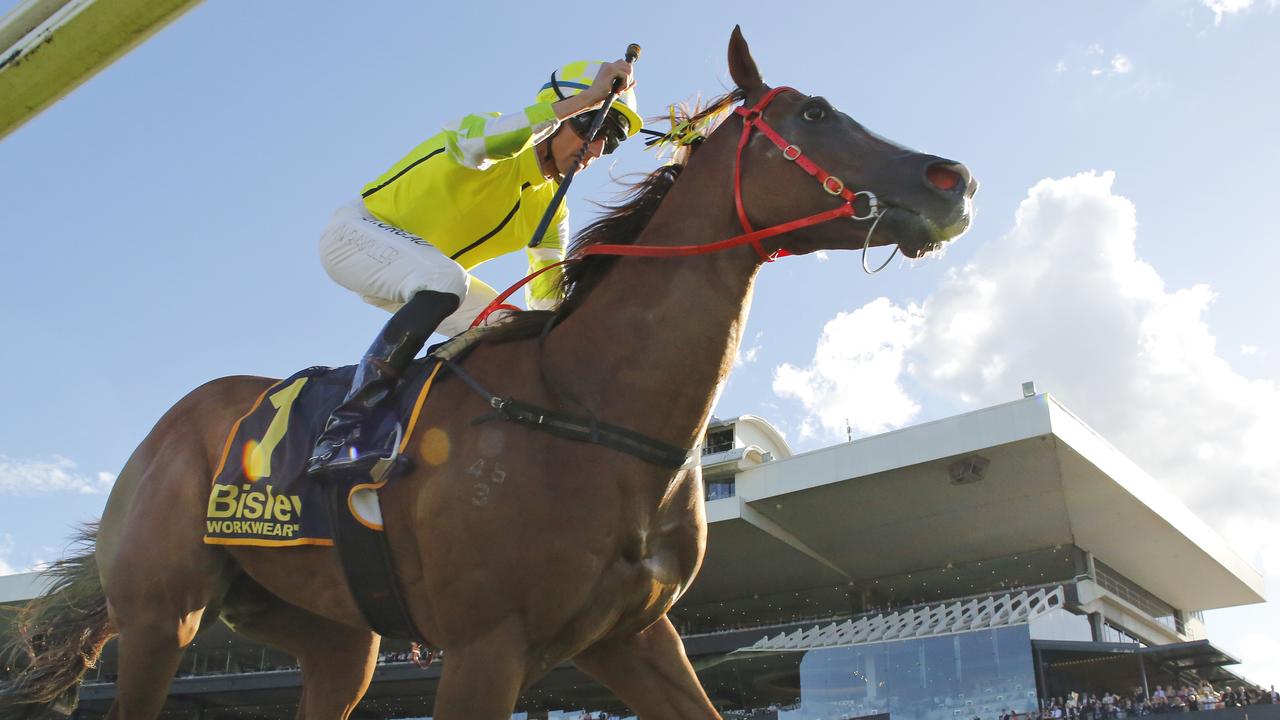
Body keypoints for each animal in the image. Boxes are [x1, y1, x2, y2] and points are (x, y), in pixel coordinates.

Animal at [5, 28, 972, 717]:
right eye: (814, 114)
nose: (953, 178)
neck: (590, 405)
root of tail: (166, 429)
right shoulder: (485, 648)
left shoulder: (635, 635)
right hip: (160, 617)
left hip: (331, 636)